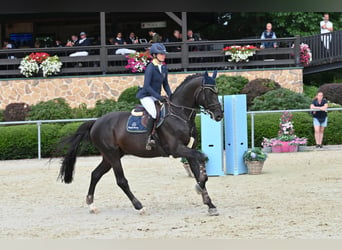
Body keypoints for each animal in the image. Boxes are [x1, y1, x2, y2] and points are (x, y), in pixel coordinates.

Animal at [58, 71, 224, 216]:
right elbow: (203, 159)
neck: (180, 114)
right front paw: (200, 190)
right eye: (210, 93)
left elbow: (199, 174)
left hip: (110, 156)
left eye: (217, 92)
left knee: (95, 174)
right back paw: (139, 207)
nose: (219, 115)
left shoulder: (189, 150)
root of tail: (96, 122)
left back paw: (92, 205)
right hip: (112, 155)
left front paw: (210, 204)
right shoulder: (177, 149)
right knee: (121, 181)